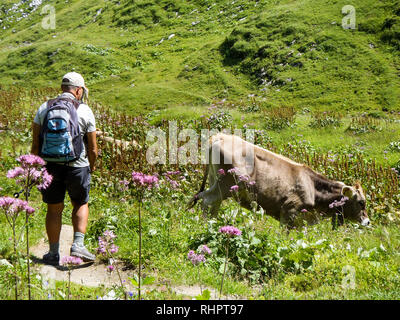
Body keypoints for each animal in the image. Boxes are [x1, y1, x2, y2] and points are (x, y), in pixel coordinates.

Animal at [189, 134, 370, 229]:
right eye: (361, 202)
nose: (367, 222)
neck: (312, 187)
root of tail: (220, 136)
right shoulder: (288, 211)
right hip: (225, 184)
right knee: (207, 199)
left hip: (216, 182)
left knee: (212, 203)